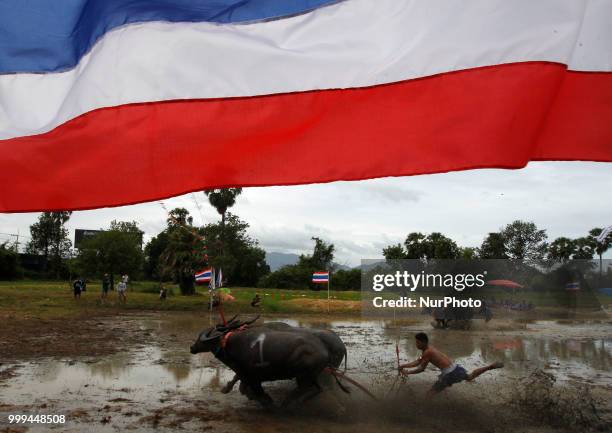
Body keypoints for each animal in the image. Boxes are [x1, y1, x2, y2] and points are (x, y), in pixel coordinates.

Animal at [190, 316, 350, 406]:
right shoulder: (247, 374)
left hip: (308, 375)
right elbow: (240, 382)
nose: (192, 347)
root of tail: (341, 345)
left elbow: (244, 384)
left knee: (316, 388)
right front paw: (228, 388)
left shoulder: (249, 374)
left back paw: (289, 402)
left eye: (200, 339)